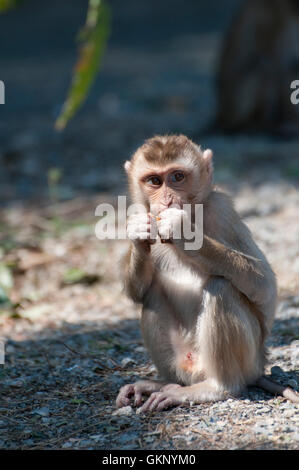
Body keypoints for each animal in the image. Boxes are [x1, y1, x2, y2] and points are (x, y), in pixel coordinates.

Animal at [116, 133, 299, 412]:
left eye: (177, 177)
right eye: (155, 181)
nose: (167, 200)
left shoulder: (222, 210)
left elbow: (265, 287)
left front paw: (183, 230)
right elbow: (137, 292)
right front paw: (138, 233)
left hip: (248, 360)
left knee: (221, 288)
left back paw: (217, 388)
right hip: (184, 361)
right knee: (152, 295)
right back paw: (162, 384)